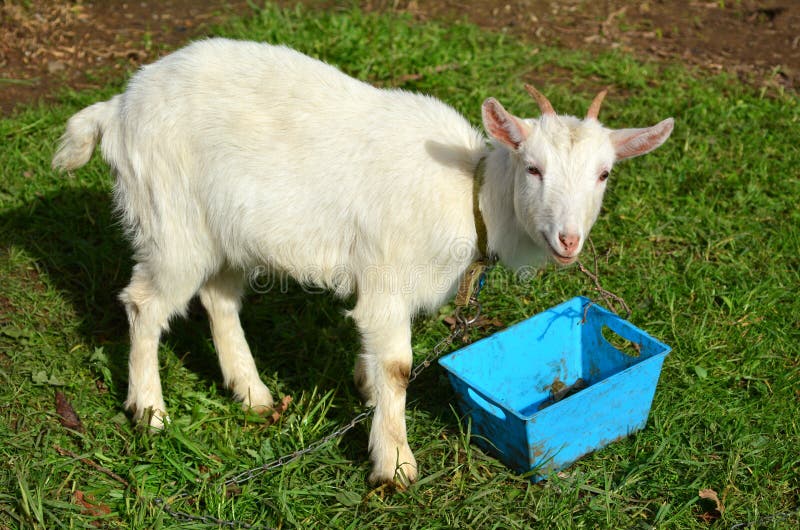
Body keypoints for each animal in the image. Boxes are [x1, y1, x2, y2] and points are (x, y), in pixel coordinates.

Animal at [52, 38, 674, 485]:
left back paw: (251, 393)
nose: (568, 240)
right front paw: (395, 464)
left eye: (604, 174)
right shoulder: (388, 274)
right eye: (533, 167)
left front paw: (368, 394)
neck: (469, 195)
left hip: (226, 229)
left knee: (219, 296)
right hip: (171, 217)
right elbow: (397, 364)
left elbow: (376, 356)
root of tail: (117, 108)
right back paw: (149, 411)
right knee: (146, 302)